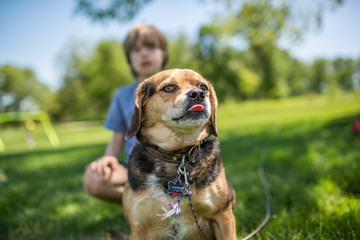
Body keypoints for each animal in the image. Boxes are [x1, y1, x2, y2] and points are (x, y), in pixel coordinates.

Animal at [124, 68, 236, 239]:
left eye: (203, 87)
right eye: (169, 87)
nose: (198, 94)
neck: (177, 154)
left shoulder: (222, 215)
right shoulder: (138, 228)